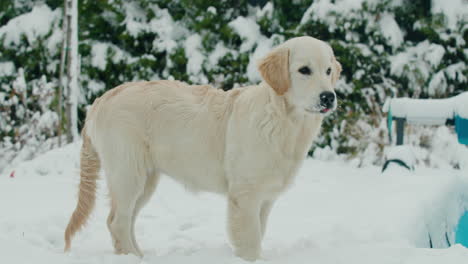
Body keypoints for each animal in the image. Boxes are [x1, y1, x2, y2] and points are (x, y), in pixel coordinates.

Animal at [64, 36, 342, 260]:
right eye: (304, 70)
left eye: (328, 70)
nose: (329, 97)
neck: (282, 120)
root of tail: (101, 100)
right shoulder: (246, 195)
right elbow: (251, 242)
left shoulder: (265, 198)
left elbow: (258, 234)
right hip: (128, 173)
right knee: (116, 222)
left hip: (146, 180)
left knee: (126, 220)